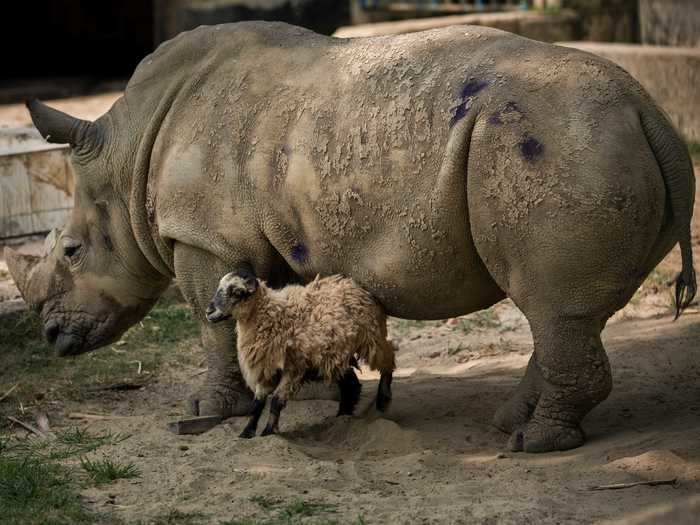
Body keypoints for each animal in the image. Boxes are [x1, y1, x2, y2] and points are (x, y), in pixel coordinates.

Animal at [205, 270, 396, 438]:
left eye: (237, 292)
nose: (209, 312)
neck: (271, 314)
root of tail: (353, 284)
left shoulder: (294, 367)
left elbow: (275, 401)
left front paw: (268, 432)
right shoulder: (266, 369)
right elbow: (257, 405)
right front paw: (246, 433)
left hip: (372, 338)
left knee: (388, 359)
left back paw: (383, 399)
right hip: (336, 354)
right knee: (351, 384)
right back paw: (342, 417)